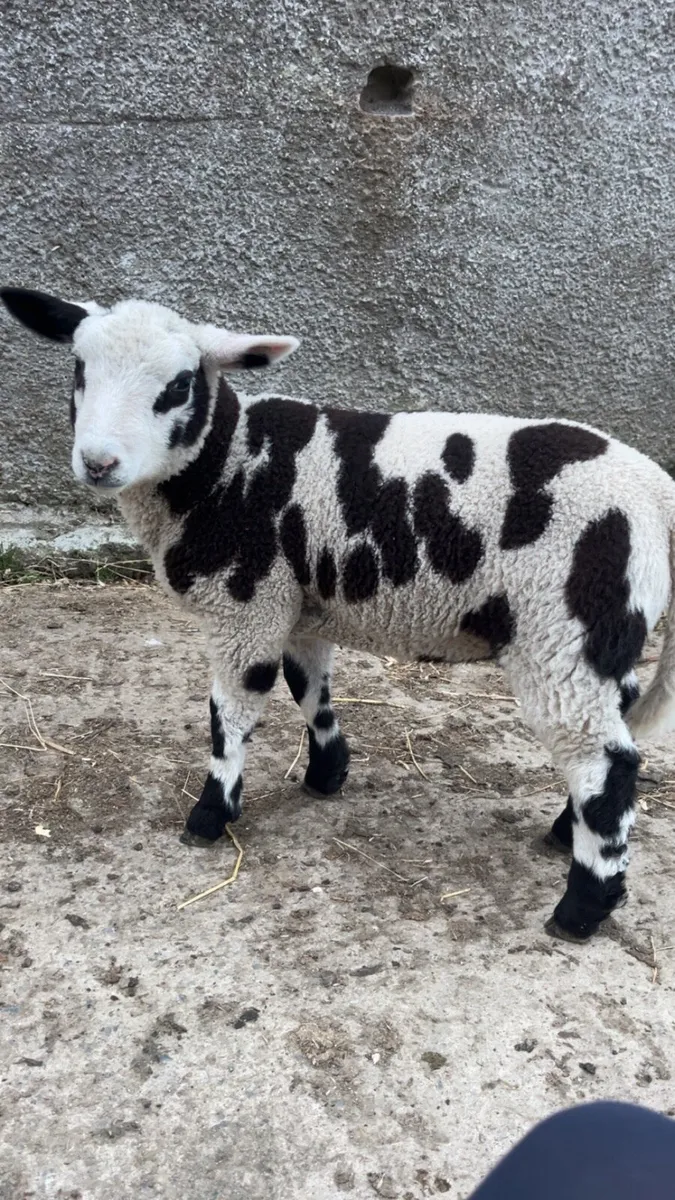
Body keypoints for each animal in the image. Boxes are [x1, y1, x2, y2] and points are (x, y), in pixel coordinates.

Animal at [3, 285, 675, 944]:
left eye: (179, 386)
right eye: (80, 369)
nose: (98, 463)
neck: (226, 464)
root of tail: (656, 493)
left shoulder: (245, 602)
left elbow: (230, 714)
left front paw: (211, 814)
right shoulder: (297, 605)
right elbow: (308, 688)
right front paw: (327, 774)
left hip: (562, 636)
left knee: (605, 763)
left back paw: (582, 909)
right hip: (604, 637)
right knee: (612, 734)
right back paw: (567, 831)